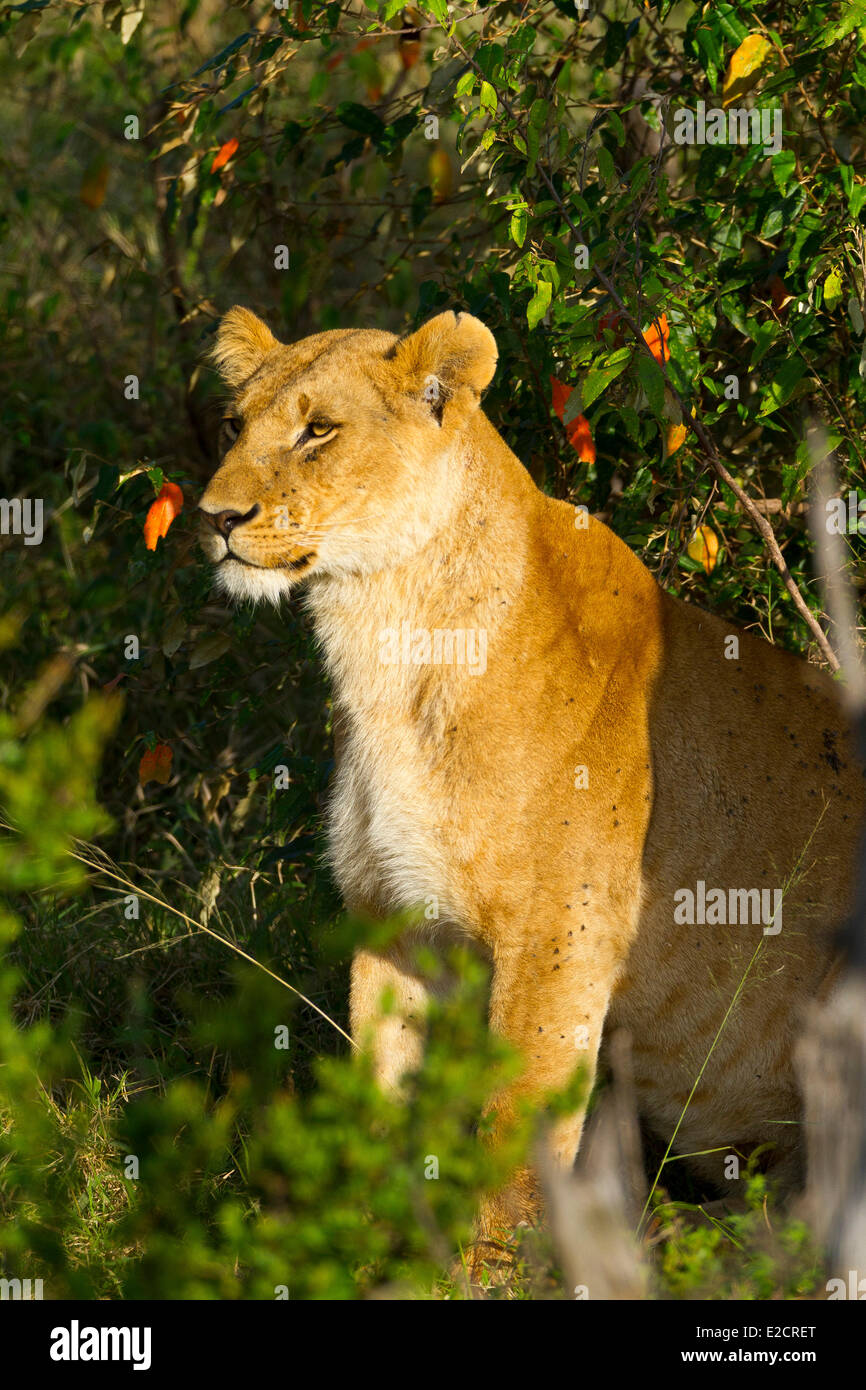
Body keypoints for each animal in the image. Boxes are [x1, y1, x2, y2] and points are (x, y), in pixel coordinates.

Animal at [199, 306, 863, 1256]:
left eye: (318, 430)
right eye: (231, 426)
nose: (215, 517)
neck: (386, 647)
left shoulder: (561, 940)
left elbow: (513, 1139)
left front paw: (489, 1265)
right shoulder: (395, 919)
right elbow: (379, 1100)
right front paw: (363, 1240)